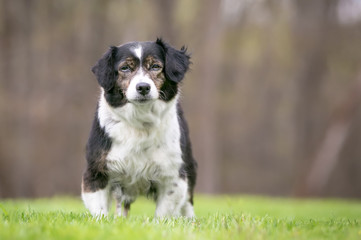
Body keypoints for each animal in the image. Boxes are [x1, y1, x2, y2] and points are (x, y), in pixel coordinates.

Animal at [81, 38, 197, 218]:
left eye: (155, 66)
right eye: (125, 68)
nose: (143, 87)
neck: (140, 121)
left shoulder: (173, 176)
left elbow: (163, 214)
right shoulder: (96, 172)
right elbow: (100, 212)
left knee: (188, 203)